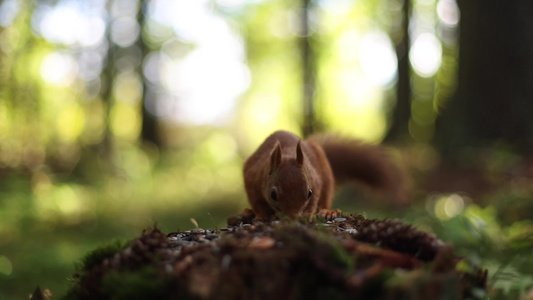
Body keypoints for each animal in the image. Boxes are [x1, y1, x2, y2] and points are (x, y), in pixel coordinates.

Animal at [243, 129, 410, 220]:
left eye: (309, 193)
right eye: (273, 194)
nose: (294, 217)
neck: (287, 154)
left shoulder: (315, 180)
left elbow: (316, 197)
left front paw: (308, 214)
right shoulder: (252, 178)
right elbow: (256, 201)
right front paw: (261, 215)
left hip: (327, 176)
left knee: (325, 197)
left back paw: (327, 212)